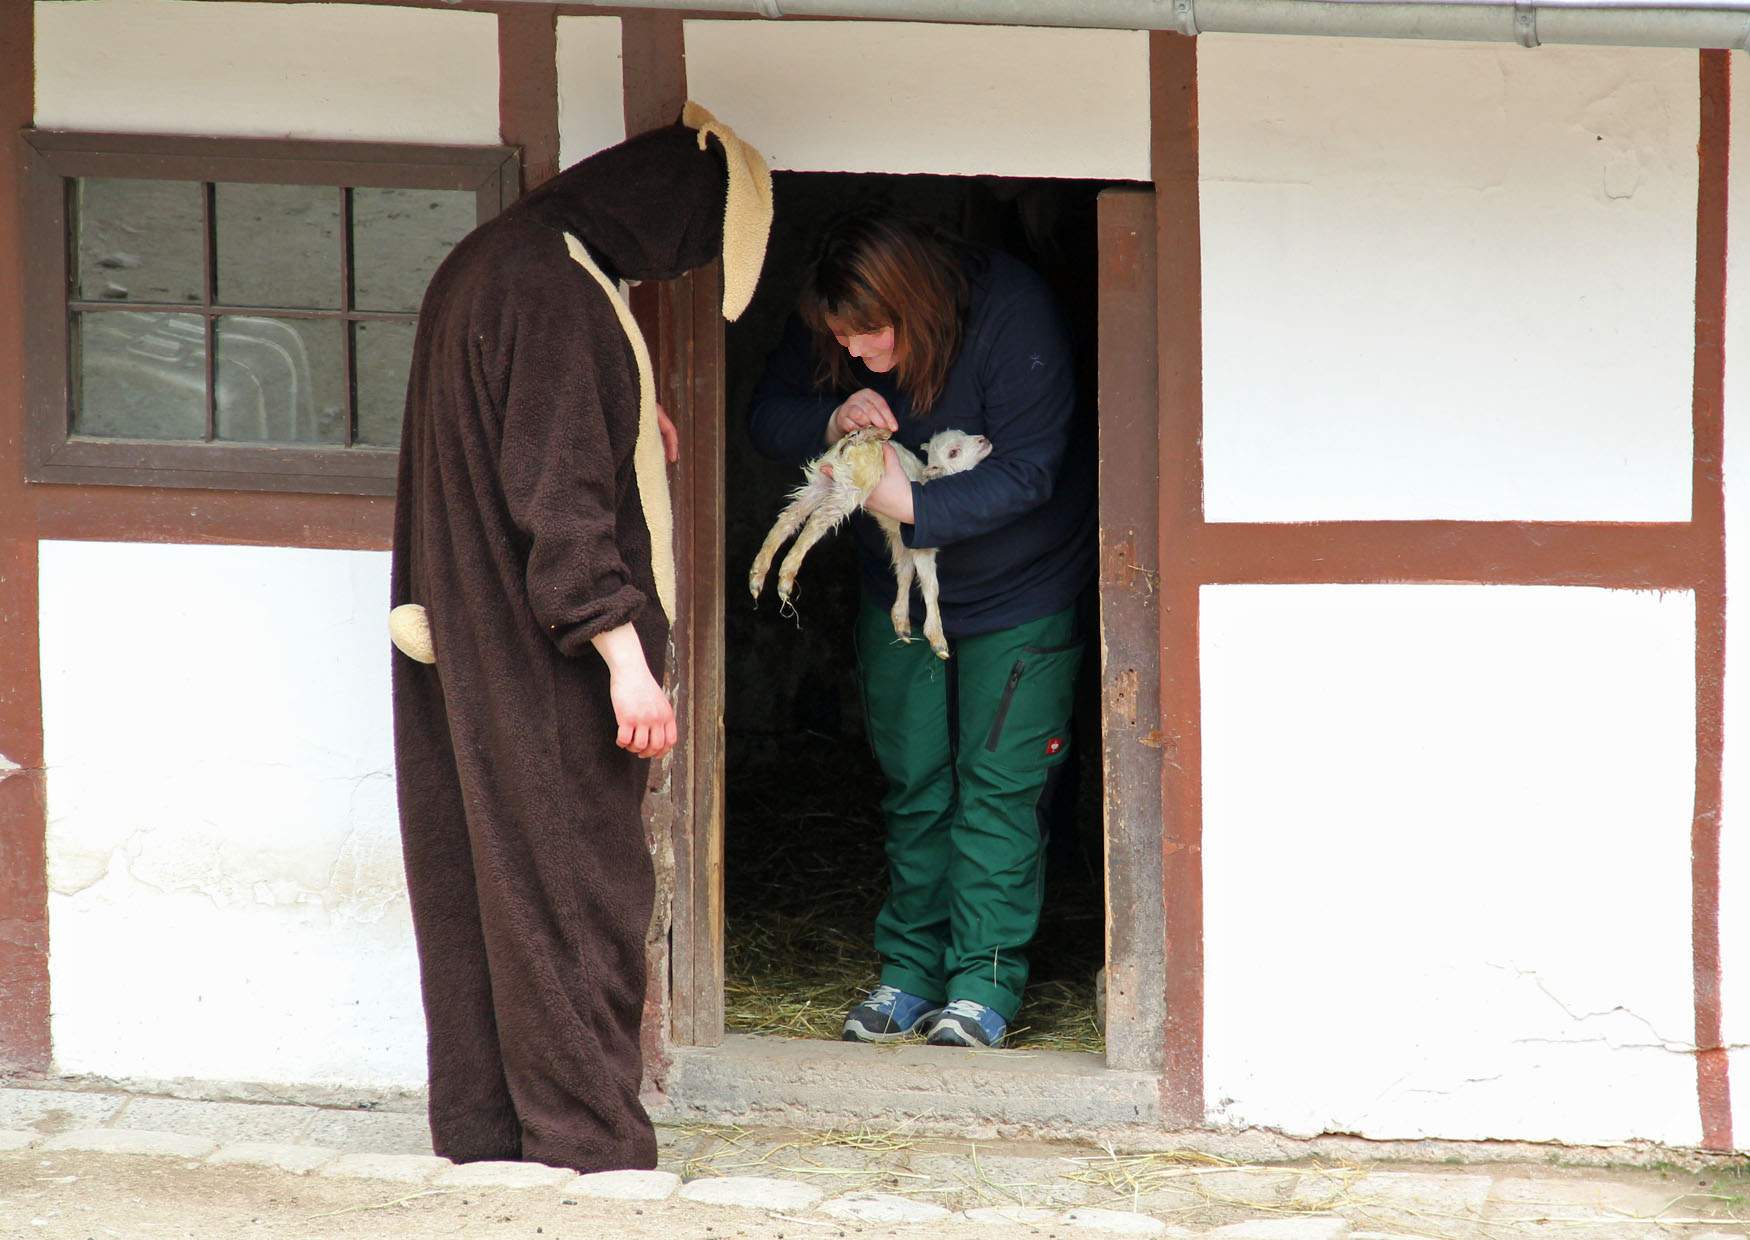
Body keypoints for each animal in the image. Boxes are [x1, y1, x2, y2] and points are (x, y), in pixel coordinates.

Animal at [749, 424, 994, 657]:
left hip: (823, 480)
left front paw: (901, 621)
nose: (984, 440)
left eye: (964, 433)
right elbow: (930, 585)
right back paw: (786, 577)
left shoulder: (902, 540)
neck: (927, 480)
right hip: (851, 487)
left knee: (789, 517)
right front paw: (937, 638)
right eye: (954, 452)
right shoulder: (920, 545)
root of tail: (859, 437)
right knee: (817, 521)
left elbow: (905, 573)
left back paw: (758, 574)